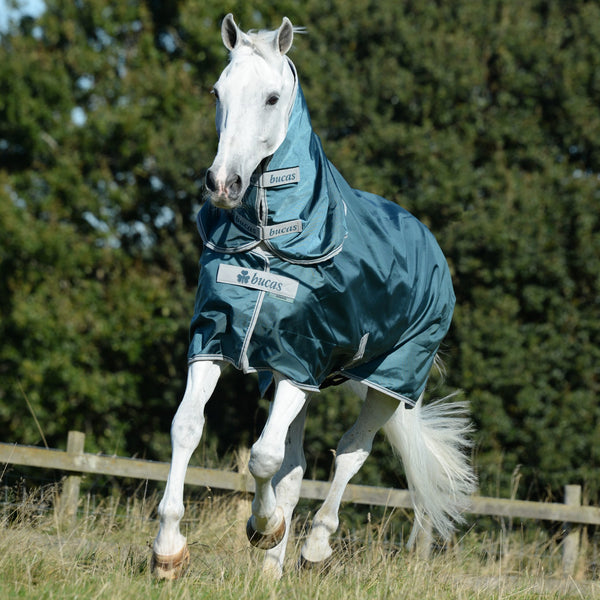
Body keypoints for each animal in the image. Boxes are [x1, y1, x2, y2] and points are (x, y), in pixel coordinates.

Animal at [151, 14, 478, 580]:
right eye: (217, 91)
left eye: (272, 97)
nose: (222, 183)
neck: (269, 239)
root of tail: (429, 243)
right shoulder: (217, 342)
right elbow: (188, 428)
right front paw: (169, 549)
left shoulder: (298, 359)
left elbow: (262, 457)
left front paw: (262, 527)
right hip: (303, 383)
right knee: (296, 464)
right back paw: (271, 569)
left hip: (387, 381)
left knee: (349, 454)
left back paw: (314, 548)